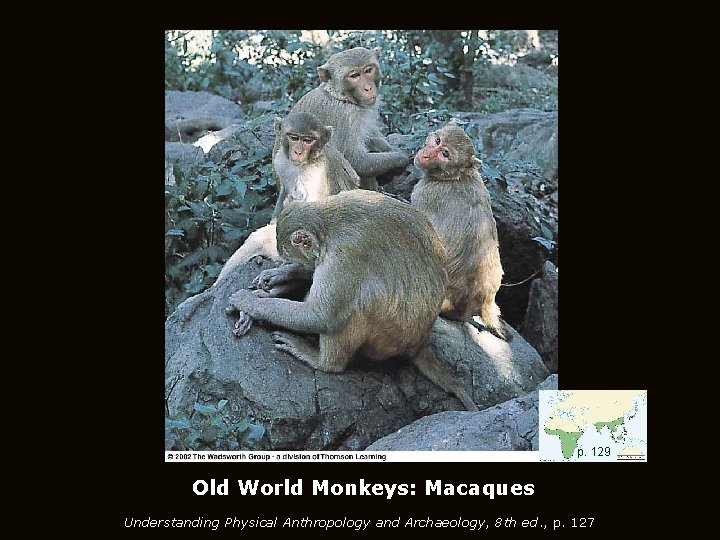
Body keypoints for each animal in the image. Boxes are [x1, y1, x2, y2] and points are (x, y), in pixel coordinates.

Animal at [226, 190, 478, 411]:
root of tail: (420, 341)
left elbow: (321, 315)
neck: (327, 226)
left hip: (386, 342)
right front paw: (277, 278)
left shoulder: (344, 256)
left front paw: (248, 302)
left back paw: (323, 361)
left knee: (355, 304)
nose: (287, 263)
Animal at [289, 47, 410, 191]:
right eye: (354, 76)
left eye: (368, 70)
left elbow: (372, 137)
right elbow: (356, 160)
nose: (368, 88)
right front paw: (402, 159)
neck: (342, 97)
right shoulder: (345, 116)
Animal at [411, 123, 510, 341]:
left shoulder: (425, 193)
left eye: (445, 154)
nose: (427, 154)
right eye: (438, 141)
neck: (455, 177)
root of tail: (484, 302)